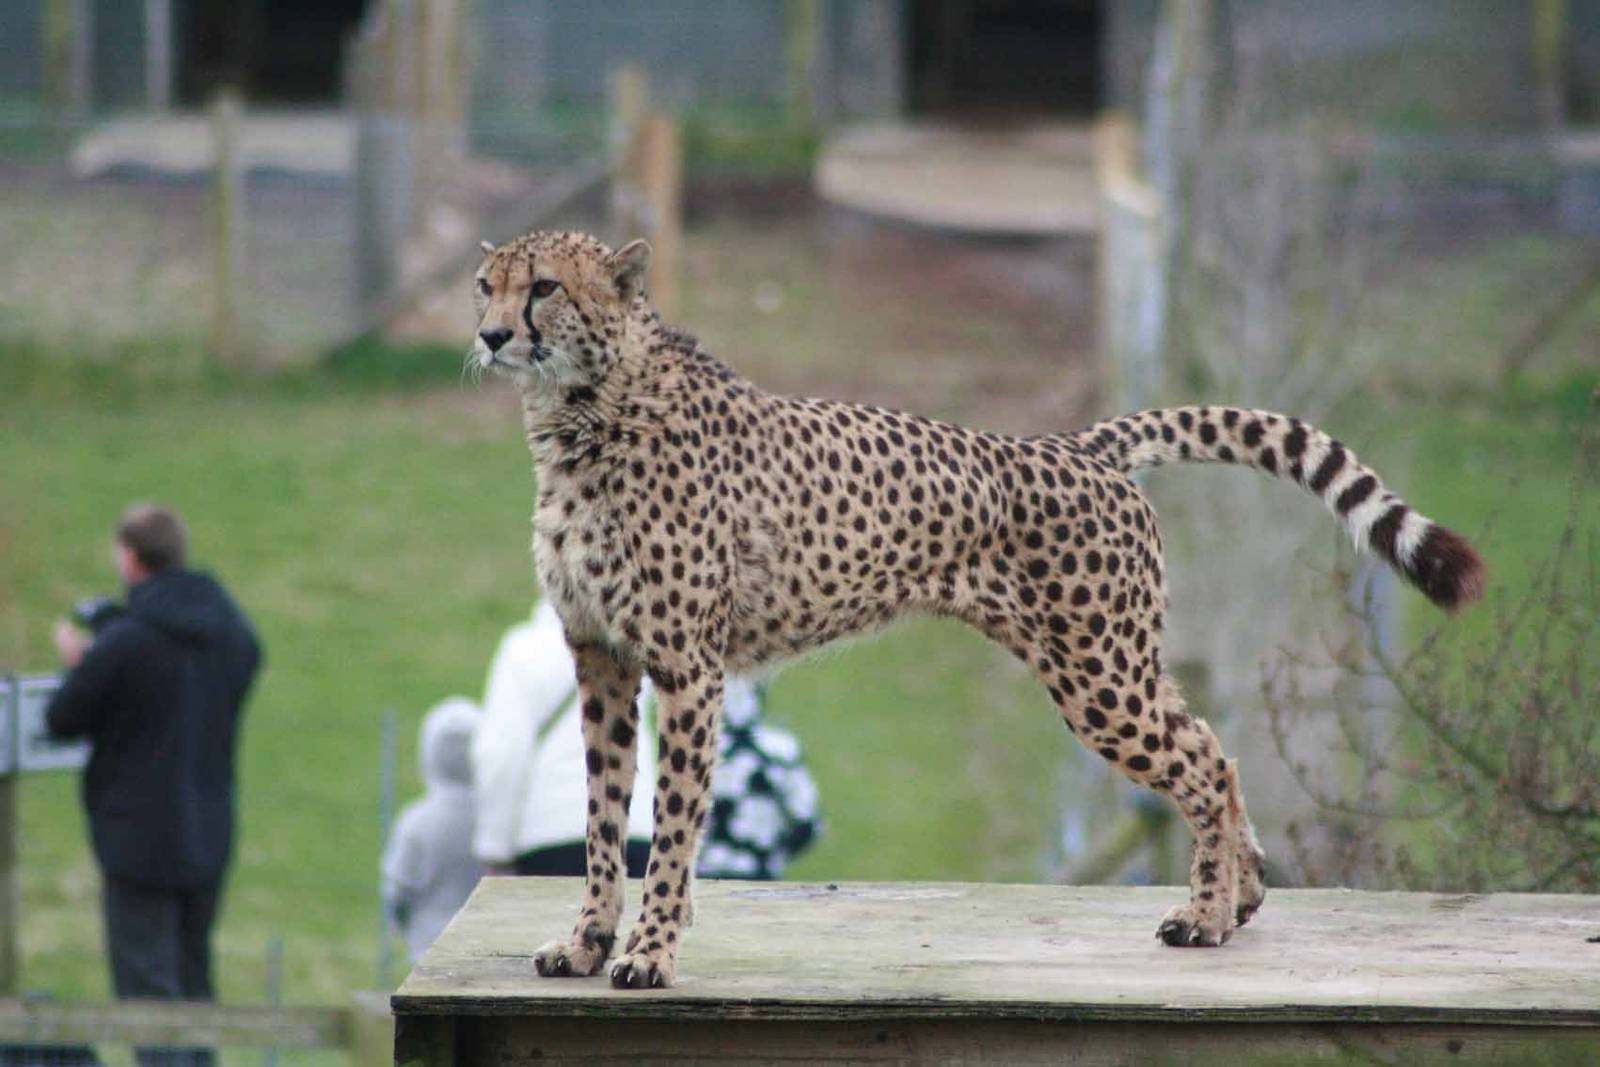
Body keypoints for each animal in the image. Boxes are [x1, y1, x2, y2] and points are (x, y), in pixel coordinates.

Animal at [468, 230, 1485, 990]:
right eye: (485, 284)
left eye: (544, 288)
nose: (487, 336)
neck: (580, 414)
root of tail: (1078, 443)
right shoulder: (600, 656)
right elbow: (603, 816)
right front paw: (586, 940)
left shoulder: (687, 666)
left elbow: (672, 824)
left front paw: (649, 952)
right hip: (1117, 660)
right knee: (1211, 742)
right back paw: (1240, 898)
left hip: (1097, 673)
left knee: (1199, 759)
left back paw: (1204, 914)